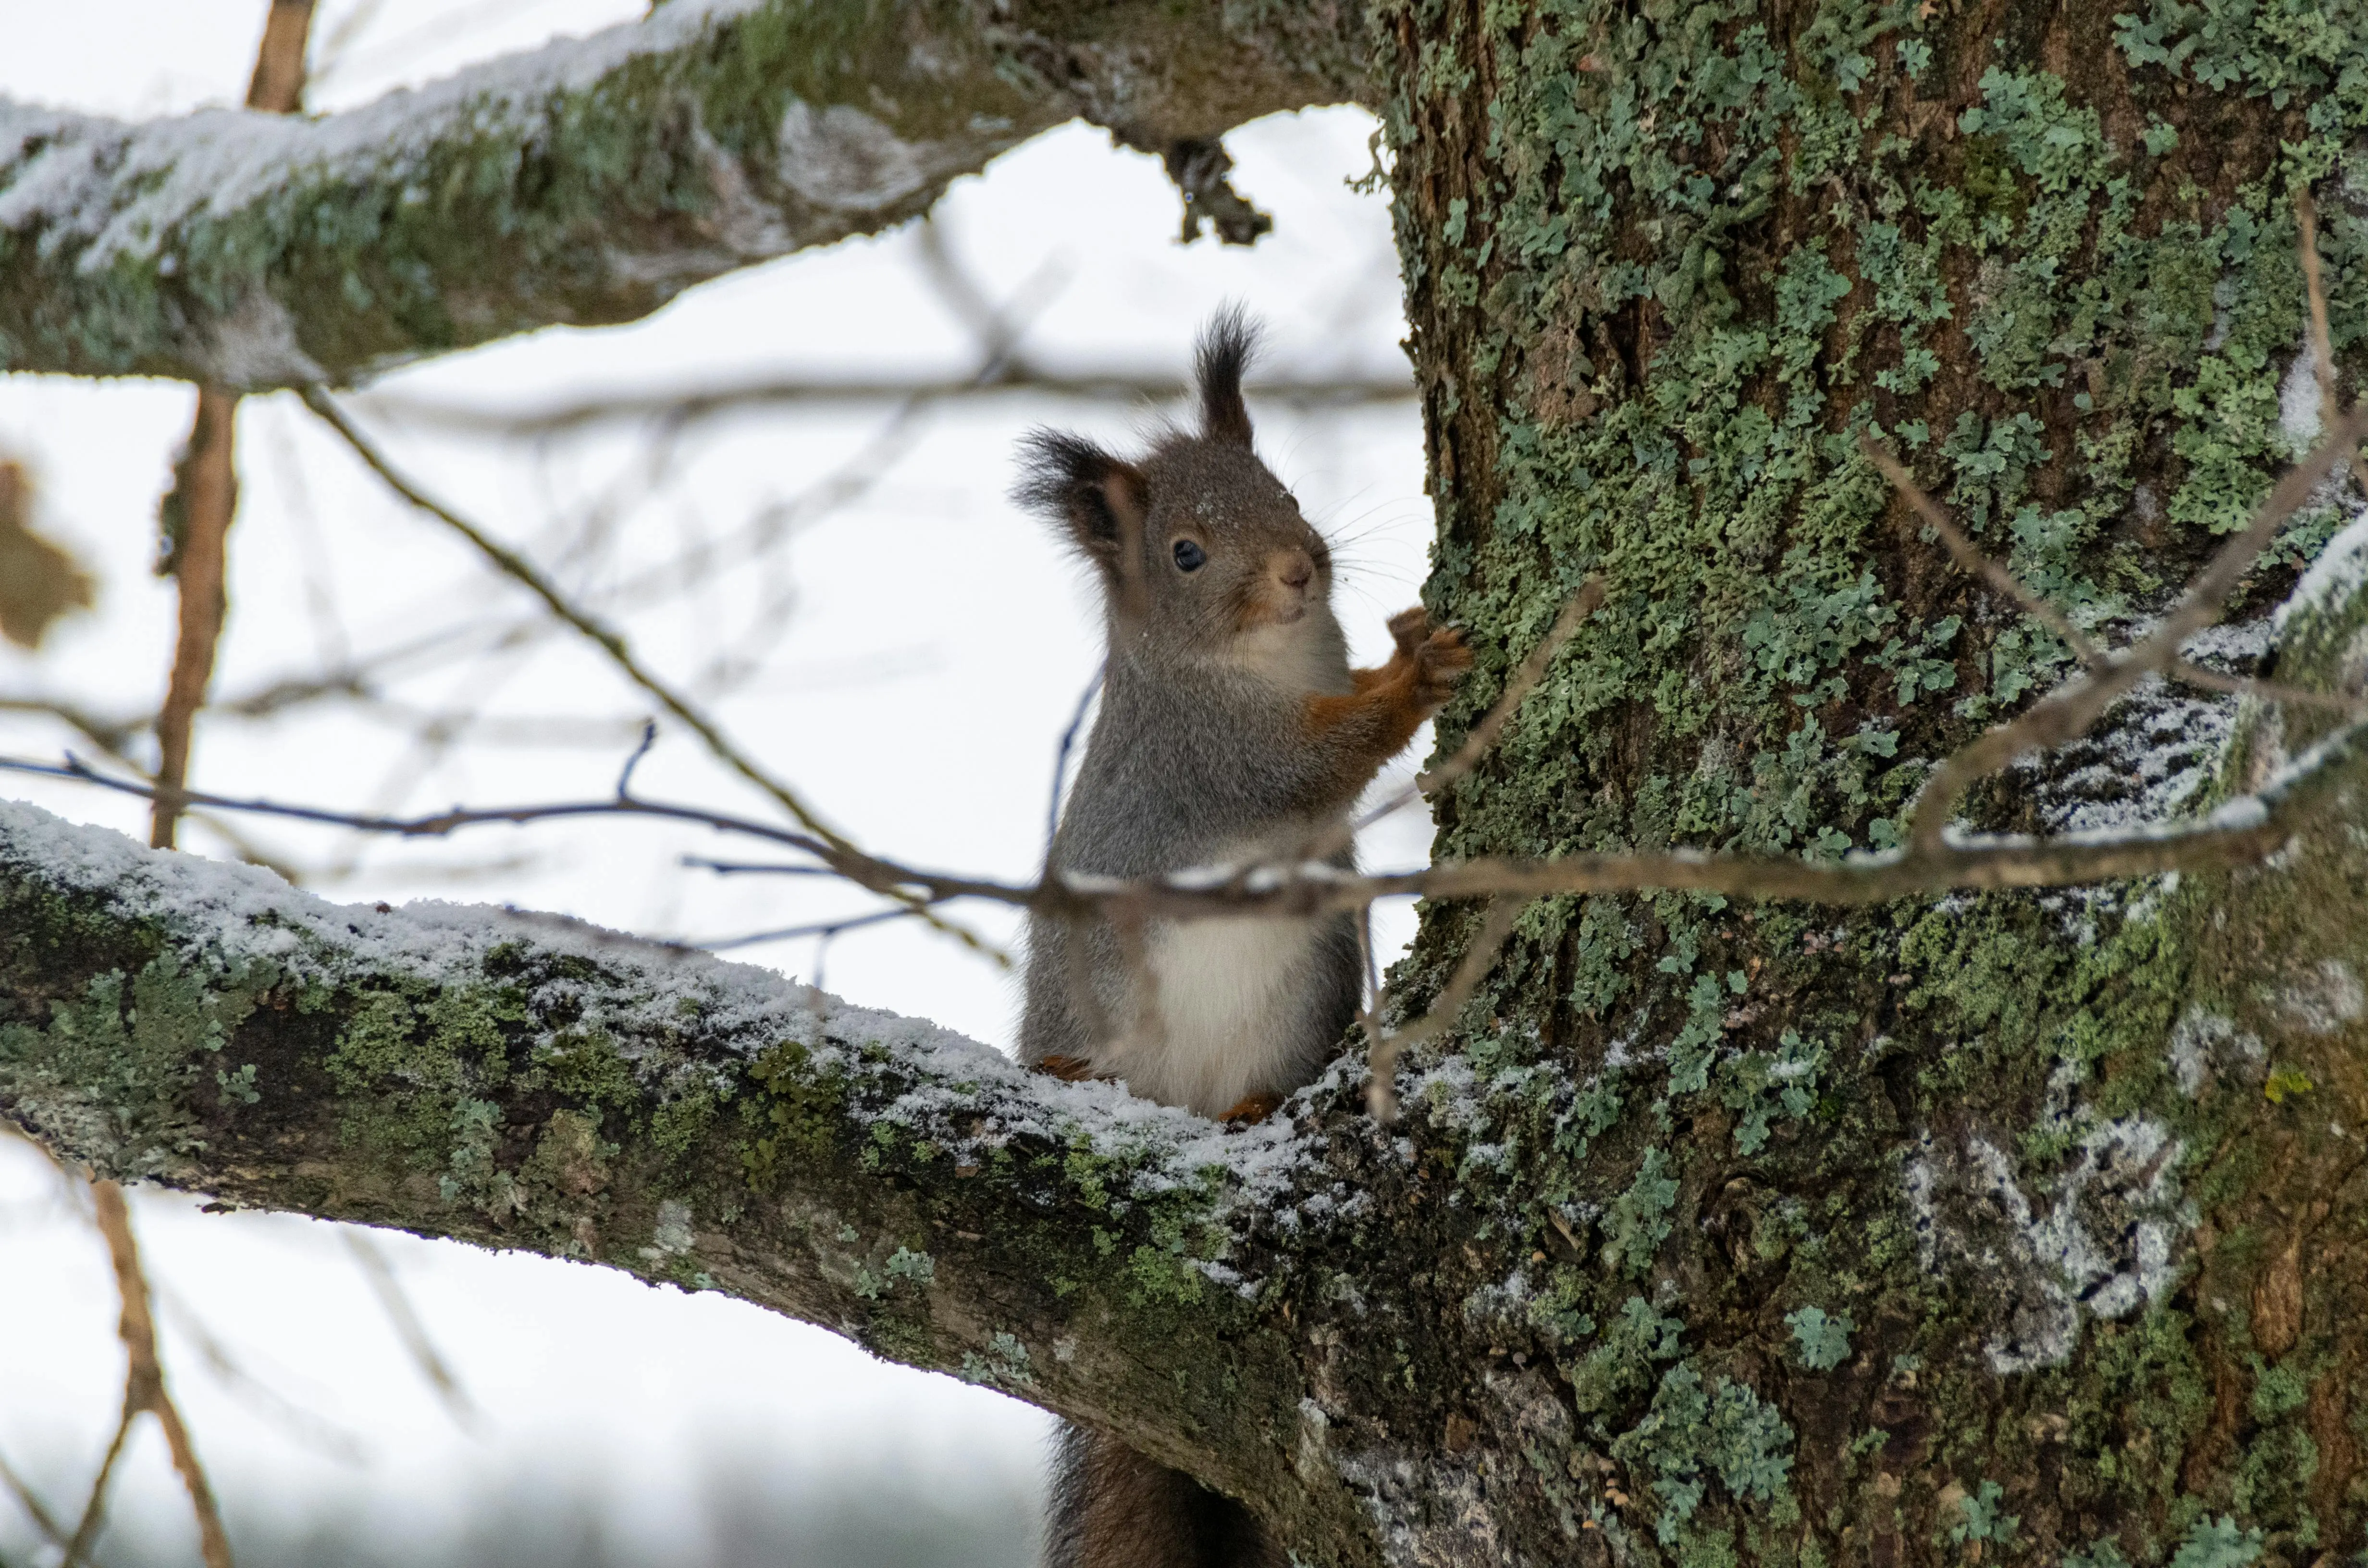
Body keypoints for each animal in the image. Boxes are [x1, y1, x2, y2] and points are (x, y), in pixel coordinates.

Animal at [1013, 310, 1468, 1568]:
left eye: (1286, 490)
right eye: (1183, 553)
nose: (1300, 569)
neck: (1262, 660)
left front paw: (1404, 635)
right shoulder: (1213, 756)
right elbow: (1316, 762)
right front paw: (1413, 674)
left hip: (1309, 989)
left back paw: (1259, 1107)